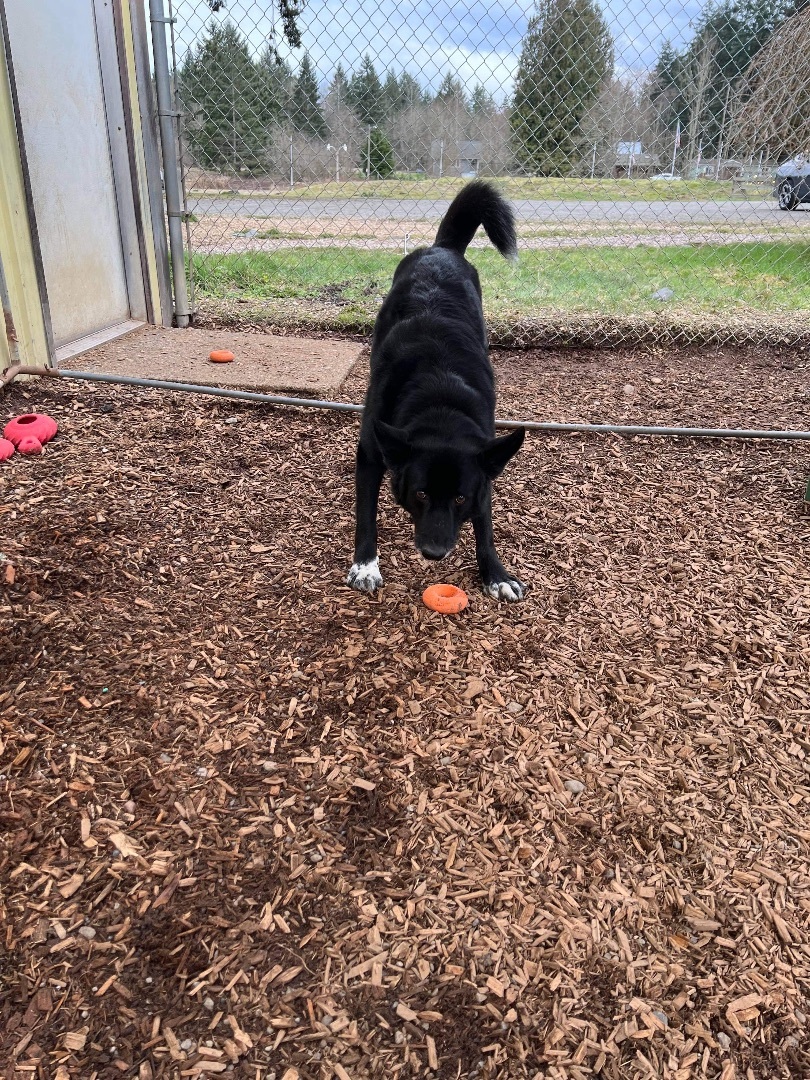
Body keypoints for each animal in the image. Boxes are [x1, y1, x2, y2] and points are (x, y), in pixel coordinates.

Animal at [347, 178, 527, 600]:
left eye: (459, 498)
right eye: (421, 493)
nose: (433, 552)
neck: (439, 396)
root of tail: (442, 248)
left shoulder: (483, 468)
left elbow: (485, 524)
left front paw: (495, 574)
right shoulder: (370, 453)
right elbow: (366, 514)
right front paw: (365, 565)